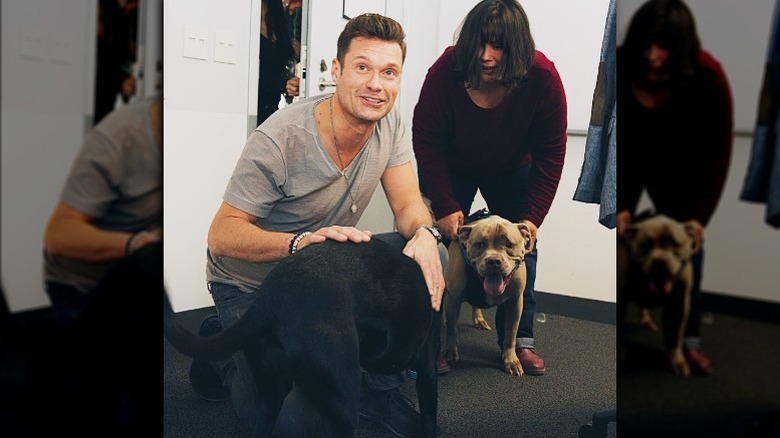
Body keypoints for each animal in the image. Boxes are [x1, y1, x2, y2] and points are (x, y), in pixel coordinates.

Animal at [442, 216, 532, 376]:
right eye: (480, 244)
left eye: (509, 244)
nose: (494, 261)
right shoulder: (453, 298)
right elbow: (452, 329)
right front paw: (450, 351)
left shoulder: (515, 302)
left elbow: (511, 334)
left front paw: (511, 360)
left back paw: (479, 319)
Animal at [620, 213, 704, 376]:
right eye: (646, 244)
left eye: (674, 243)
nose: (659, 261)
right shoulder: (621, 299)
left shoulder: (679, 304)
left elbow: (676, 335)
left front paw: (677, 360)